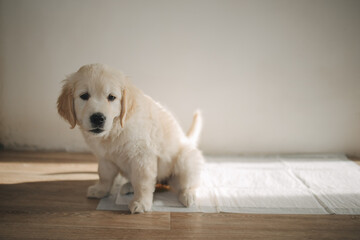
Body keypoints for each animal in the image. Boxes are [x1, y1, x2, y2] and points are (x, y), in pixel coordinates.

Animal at [56, 63, 202, 214]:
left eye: (111, 97)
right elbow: (104, 176)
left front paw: (141, 202)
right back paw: (128, 186)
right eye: (84, 96)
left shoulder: (142, 157)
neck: (114, 131)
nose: (98, 118)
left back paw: (188, 195)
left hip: (185, 160)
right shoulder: (105, 158)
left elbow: (142, 181)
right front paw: (100, 190)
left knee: (188, 182)